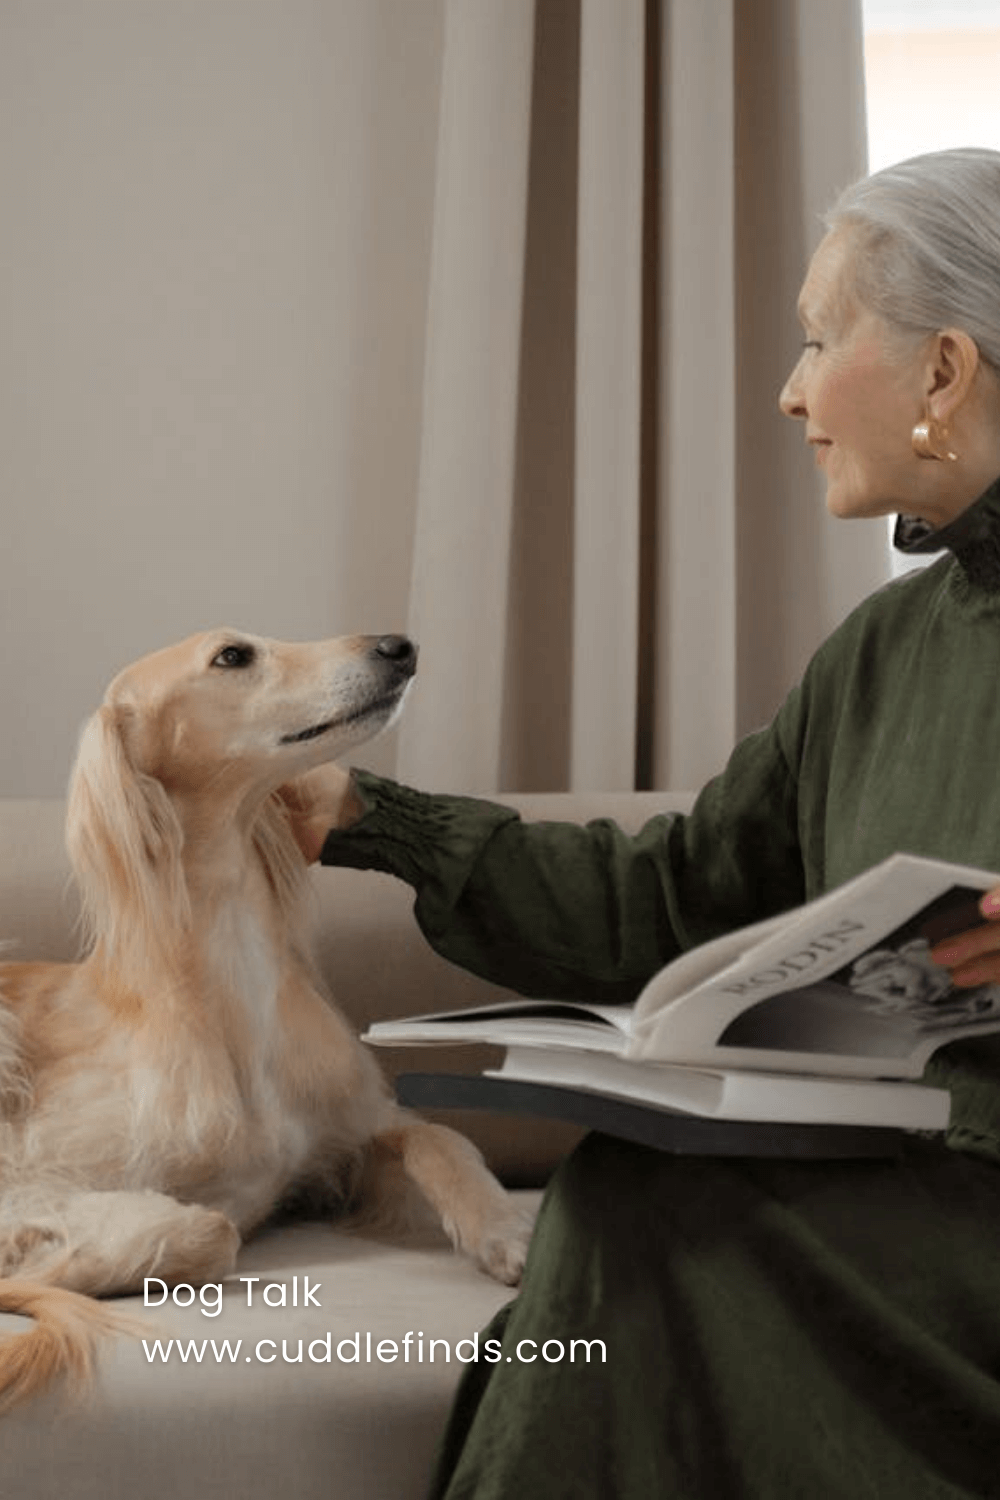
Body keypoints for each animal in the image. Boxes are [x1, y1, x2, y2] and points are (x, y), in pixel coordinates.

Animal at [0, 630, 530, 1404]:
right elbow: (208, 1230)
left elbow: (440, 1138)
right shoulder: (33, 1175)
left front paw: (506, 1228)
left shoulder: (346, 1140)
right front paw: (40, 1265)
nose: (399, 646)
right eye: (233, 656)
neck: (232, 987)